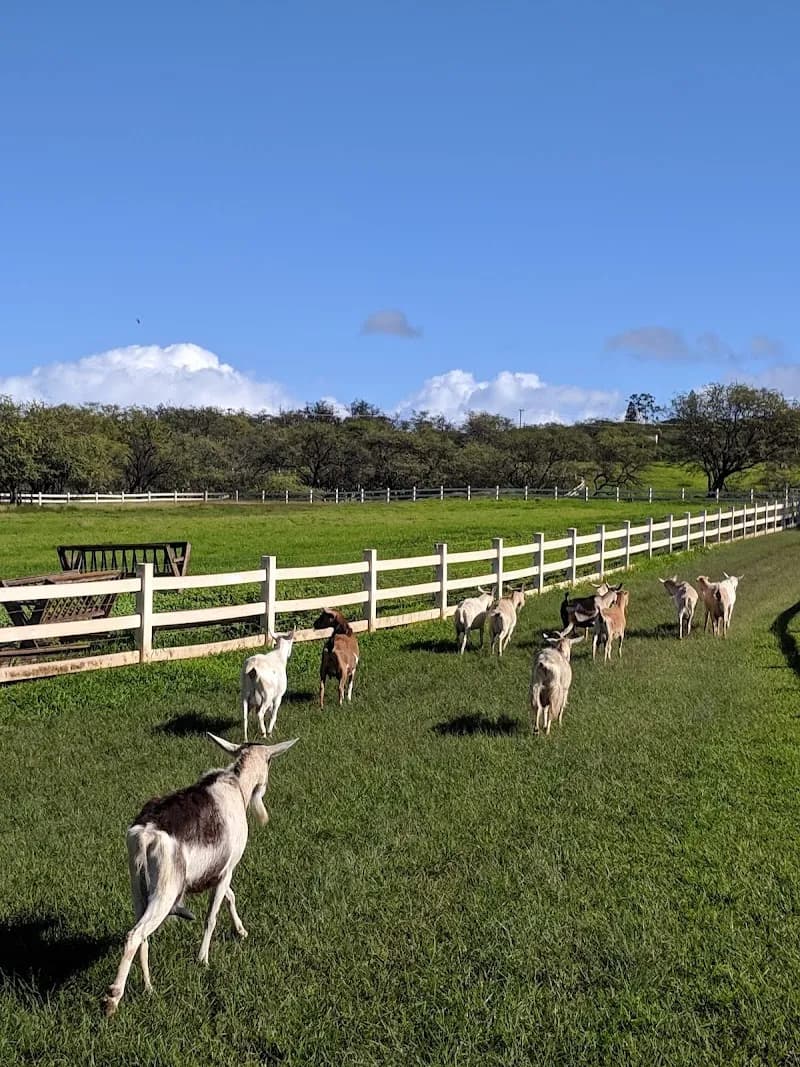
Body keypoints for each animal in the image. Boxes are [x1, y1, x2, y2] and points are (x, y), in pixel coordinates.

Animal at [103, 733, 297, 1017]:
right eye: (270, 760)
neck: (236, 785)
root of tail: (145, 835)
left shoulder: (219, 870)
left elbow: (230, 897)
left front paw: (241, 931)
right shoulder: (228, 869)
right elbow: (212, 916)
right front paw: (203, 959)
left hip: (138, 886)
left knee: (142, 935)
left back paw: (149, 988)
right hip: (165, 890)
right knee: (134, 936)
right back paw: (112, 1000)